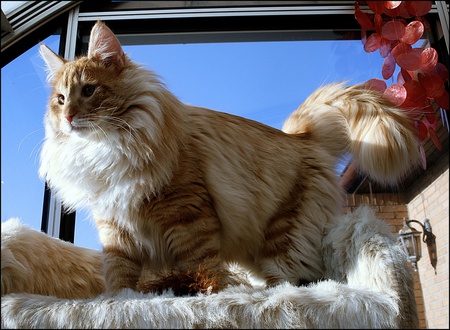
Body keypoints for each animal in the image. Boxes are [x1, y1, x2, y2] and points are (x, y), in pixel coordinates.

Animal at [38, 19, 422, 296]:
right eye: (60, 99)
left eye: (89, 91)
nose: (68, 117)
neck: (106, 147)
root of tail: (301, 138)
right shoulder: (114, 228)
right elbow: (119, 276)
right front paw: (117, 301)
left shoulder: (189, 215)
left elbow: (201, 267)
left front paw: (207, 295)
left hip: (282, 234)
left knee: (294, 279)